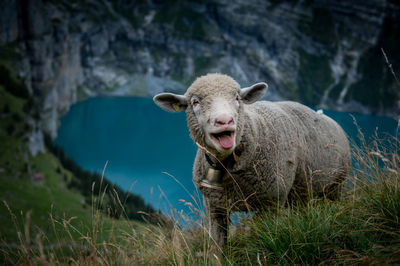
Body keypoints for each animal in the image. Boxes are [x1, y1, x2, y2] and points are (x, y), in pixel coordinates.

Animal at [153, 73, 350, 251]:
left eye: (237, 97)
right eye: (195, 102)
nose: (224, 121)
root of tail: (323, 114)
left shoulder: (273, 202)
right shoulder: (215, 206)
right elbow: (217, 247)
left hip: (336, 185)